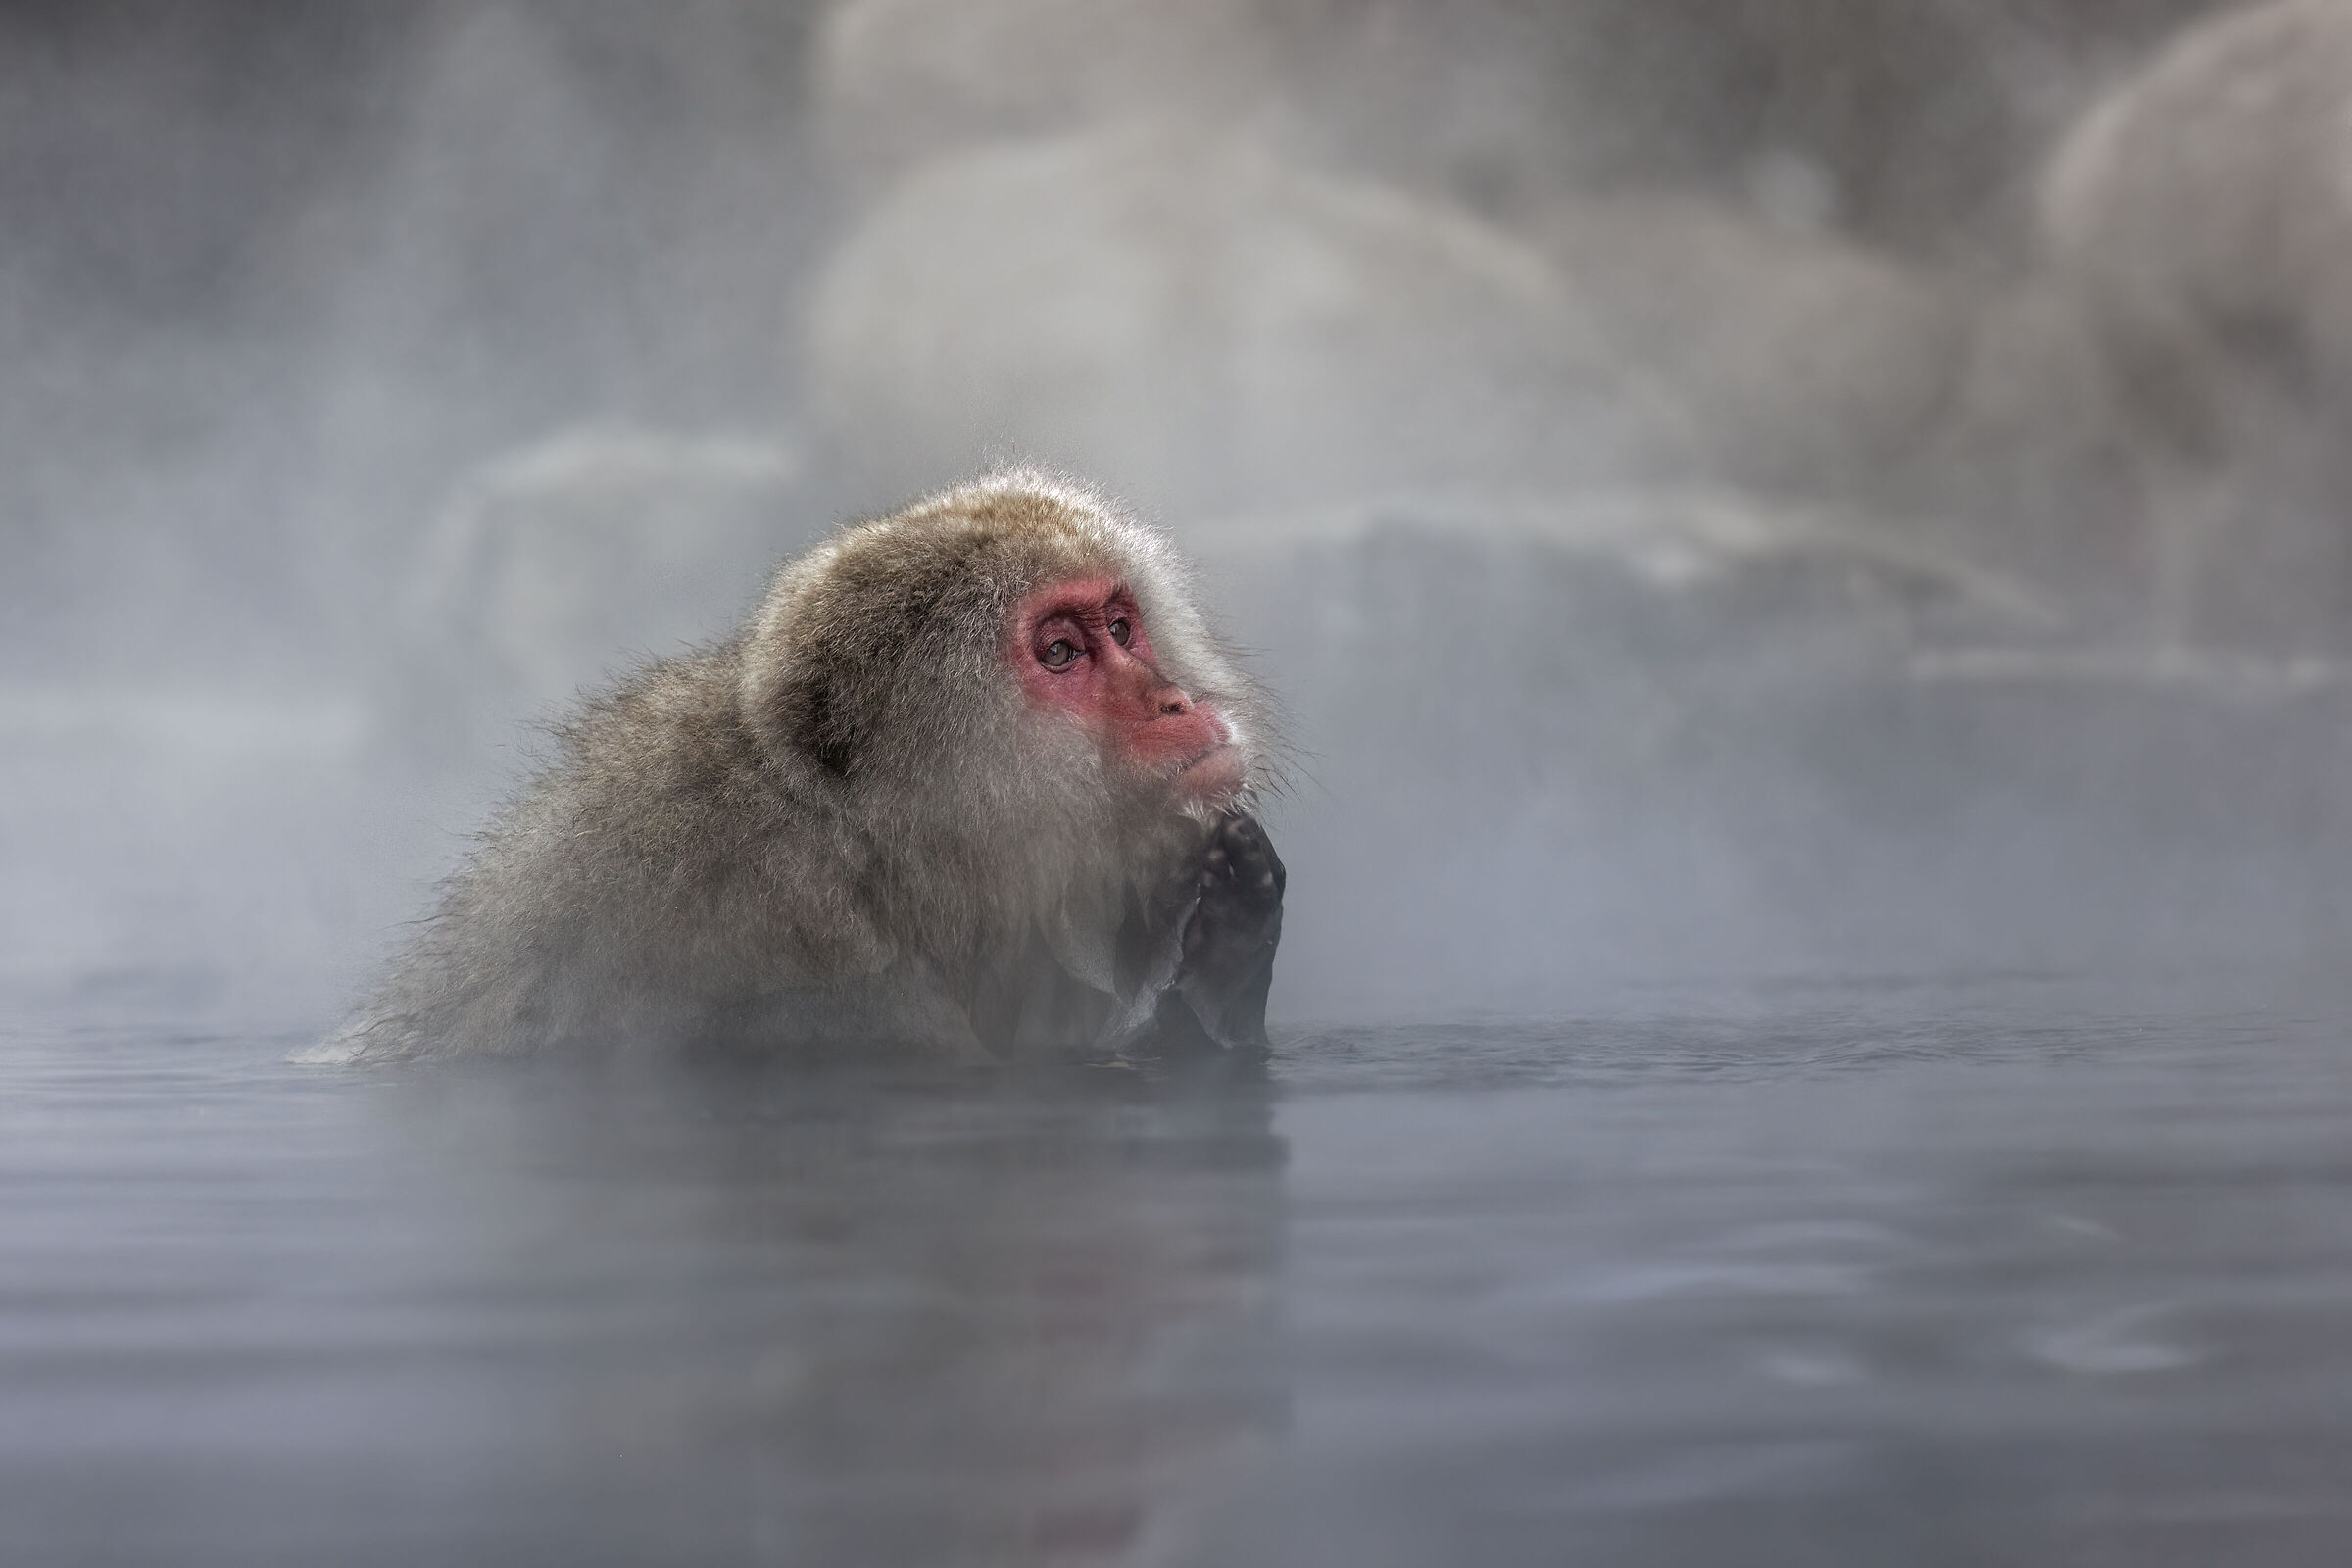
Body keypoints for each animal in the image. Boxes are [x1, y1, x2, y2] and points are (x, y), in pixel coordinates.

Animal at [322, 471, 1284, 1064]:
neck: (875, 862)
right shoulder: (791, 964)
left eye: (1122, 627)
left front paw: (1234, 942)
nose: (1174, 702)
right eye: (1058, 652)